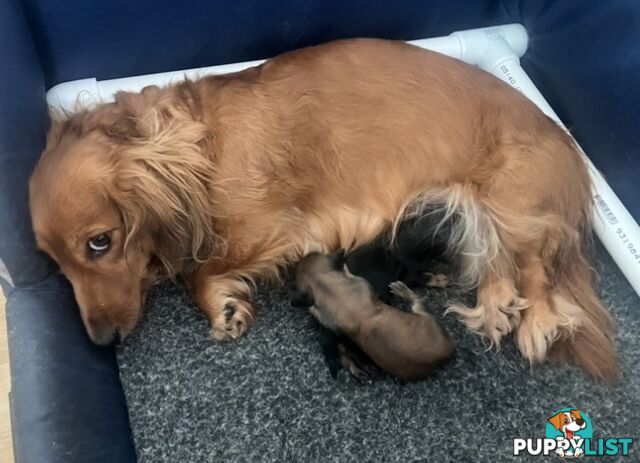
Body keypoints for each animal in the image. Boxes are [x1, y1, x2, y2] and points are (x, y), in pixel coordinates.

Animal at [296, 254, 456, 380]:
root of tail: (448, 352)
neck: (325, 286)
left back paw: (357, 370)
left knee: (343, 354)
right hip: (425, 316)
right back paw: (403, 290)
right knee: (418, 302)